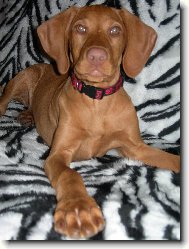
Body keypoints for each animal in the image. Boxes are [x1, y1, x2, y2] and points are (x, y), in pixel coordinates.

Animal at [0, 4, 180, 239]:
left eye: (115, 30)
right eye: (80, 28)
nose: (96, 56)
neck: (97, 101)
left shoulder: (136, 147)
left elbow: (168, 158)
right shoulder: (58, 154)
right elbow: (70, 175)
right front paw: (78, 209)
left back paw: (28, 116)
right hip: (20, 79)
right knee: (4, 100)